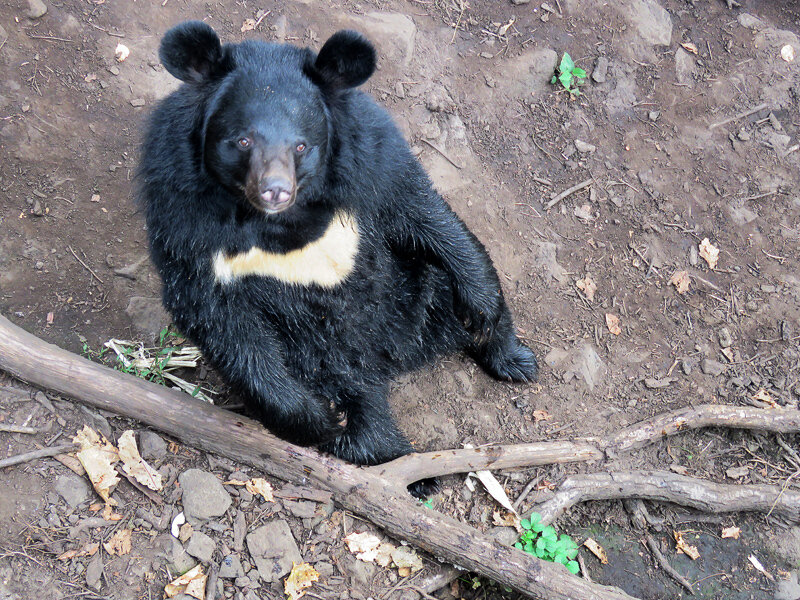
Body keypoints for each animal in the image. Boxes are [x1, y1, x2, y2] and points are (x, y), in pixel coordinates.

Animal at [139, 21, 536, 494]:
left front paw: (481, 309)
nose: (275, 190)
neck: (282, 224)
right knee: (353, 390)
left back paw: (511, 358)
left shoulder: (372, 157)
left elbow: (420, 211)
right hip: (322, 350)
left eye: (301, 146)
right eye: (242, 140)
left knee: (452, 291)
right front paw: (318, 419)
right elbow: (216, 314)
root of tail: (397, 356)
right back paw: (393, 459)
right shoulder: (182, 213)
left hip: (415, 290)